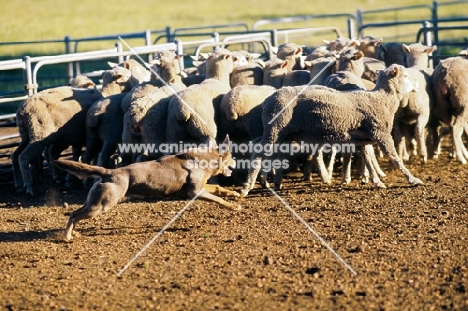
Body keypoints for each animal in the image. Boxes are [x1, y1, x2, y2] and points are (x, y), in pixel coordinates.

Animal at [53, 136, 239, 241]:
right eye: (232, 156)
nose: (236, 162)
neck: (203, 159)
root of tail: (109, 172)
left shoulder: (201, 187)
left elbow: (217, 188)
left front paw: (234, 194)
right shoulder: (195, 192)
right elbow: (218, 199)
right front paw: (234, 206)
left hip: (94, 201)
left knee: (74, 213)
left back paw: (73, 233)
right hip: (101, 205)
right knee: (74, 215)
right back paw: (68, 236)